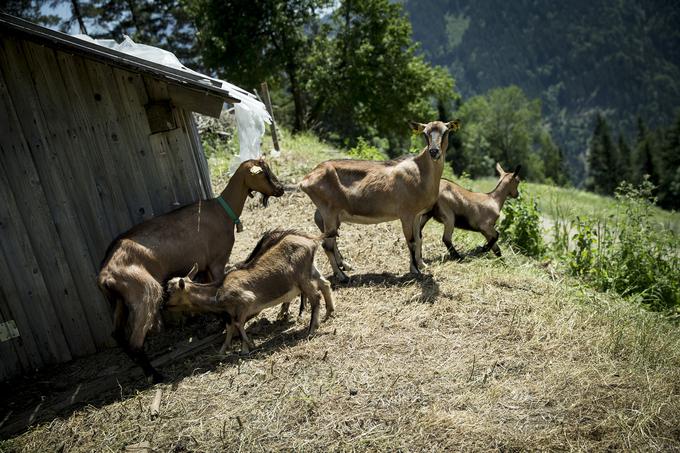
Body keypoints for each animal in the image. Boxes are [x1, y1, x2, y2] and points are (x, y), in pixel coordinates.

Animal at [97, 157, 282, 380]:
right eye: (263, 173)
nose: (280, 189)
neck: (221, 210)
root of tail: (105, 275)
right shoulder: (217, 262)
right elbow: (219, 288)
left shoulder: (205, 267)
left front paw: (220, 322)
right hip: (145, 293)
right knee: (135, 341)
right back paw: (156, 376)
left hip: (119, 302)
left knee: (117, 334)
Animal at [165, 230, 334, 354]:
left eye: (170, 291)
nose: (164, 306)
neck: (217, 291)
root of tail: (312, 241)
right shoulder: (230, 314)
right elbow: (230, 329)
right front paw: (225, 351)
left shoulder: (247, 302)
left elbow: (238, 325)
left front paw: (248, 347)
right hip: (311, 270)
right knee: (325, 284)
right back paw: (329, 314)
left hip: (302, 278)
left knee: (316, 297)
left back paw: (311, 329)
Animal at [300, 119, 460, 278]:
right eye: (425, 133)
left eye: (446, 131)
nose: (434, 151)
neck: (420, 171)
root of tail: (306, 179)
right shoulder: (406, 214)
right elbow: (411, 241)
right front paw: (415, 270)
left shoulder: (417, 214)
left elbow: (419, 239)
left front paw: (422, 265)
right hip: (329, 211)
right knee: (327, 244)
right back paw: (342, 276)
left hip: (329, 214)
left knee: (327, 235)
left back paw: (345, 266)